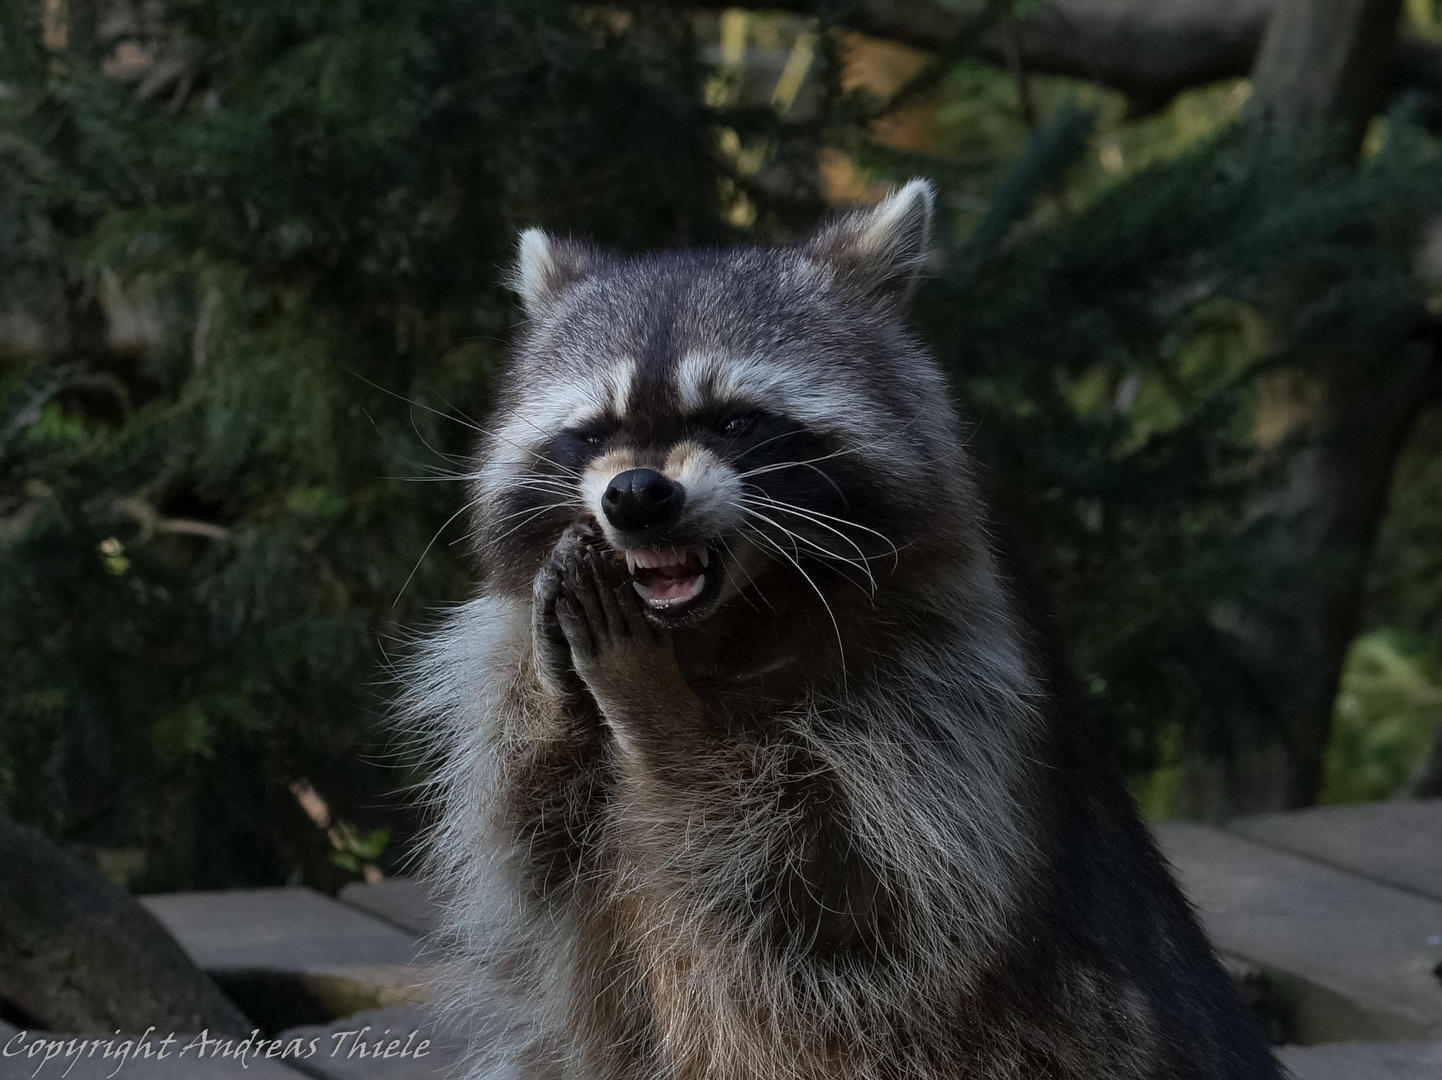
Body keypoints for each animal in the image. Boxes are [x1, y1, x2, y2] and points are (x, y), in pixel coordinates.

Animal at [400, 178, 1280, 1078]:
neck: (723, 624)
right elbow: (526, 843)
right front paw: (561, 697)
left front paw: (657, 717)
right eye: (594, 432)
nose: (636, 495)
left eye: (734, 421)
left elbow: (842, 896)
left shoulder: (943, 689)